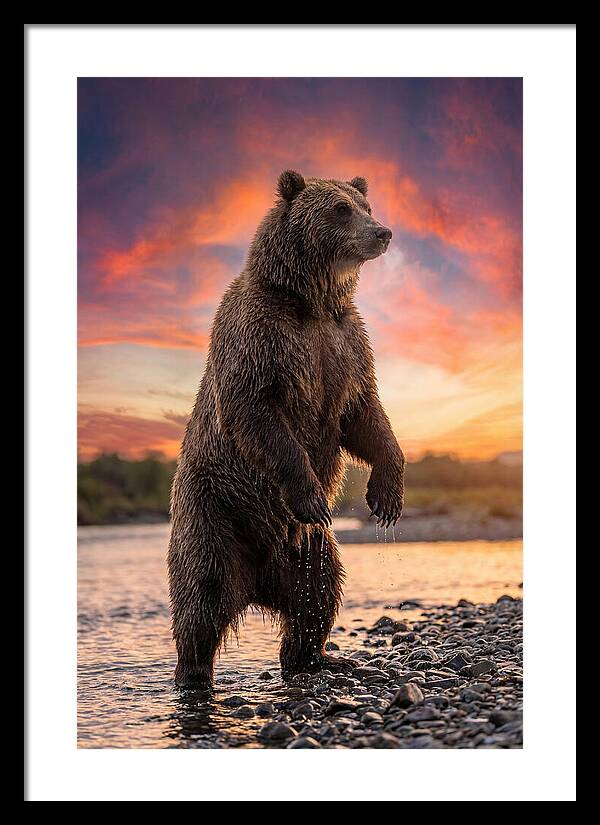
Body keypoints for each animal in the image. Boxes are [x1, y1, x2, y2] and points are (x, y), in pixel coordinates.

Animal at [168, 170, 405, 688]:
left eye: (365, 204)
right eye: (340, 209)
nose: (382, 232)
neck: (311, 302)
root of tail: (257, 582)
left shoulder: (345, 345)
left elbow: (365, 415)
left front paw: (386, 497)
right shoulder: (261, 338)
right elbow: (258, 413)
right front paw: (313, 494)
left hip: (307, 549)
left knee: (318, 592)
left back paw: (318, 657)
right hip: (215, 511)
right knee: (202, 594)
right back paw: (193, 674)